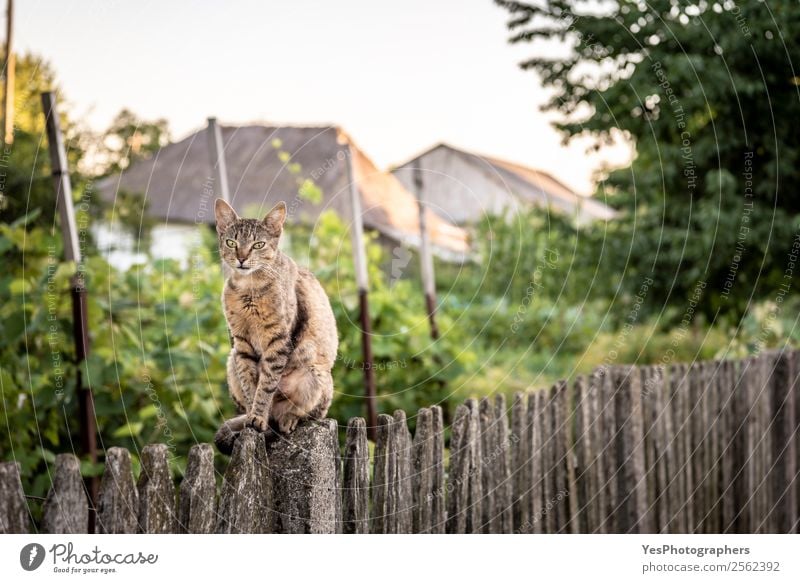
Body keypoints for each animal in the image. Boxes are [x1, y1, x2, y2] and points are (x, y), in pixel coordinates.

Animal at [212, 198, 338, 454]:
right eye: (231, 242)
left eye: (258, 245)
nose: (241, 258)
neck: (248, 289)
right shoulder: (242, 344)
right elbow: (251, 386)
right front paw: (254, 417)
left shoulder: (278, 342)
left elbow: (267, 384)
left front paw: (258, 416)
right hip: (232, 359)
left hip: (315, 372)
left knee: (310, 415)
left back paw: (288, 418)